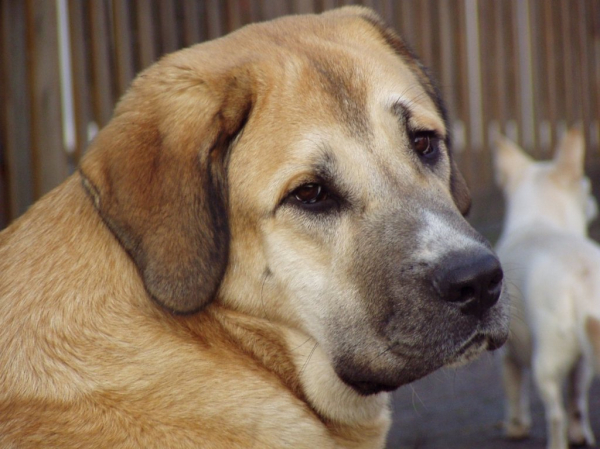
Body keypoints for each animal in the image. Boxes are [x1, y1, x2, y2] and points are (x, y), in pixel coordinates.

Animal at [492, 128, 600, 448]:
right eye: (587, 187)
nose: (594, 201)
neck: (539, 219)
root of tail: (581, 281)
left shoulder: (508, 356)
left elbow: (514, 391)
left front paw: (516, 427)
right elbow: (575, 398)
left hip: (545, 365)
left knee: (555, 415)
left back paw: (556, 442)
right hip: (581, 358)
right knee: (576, 402)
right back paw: (580, 435)